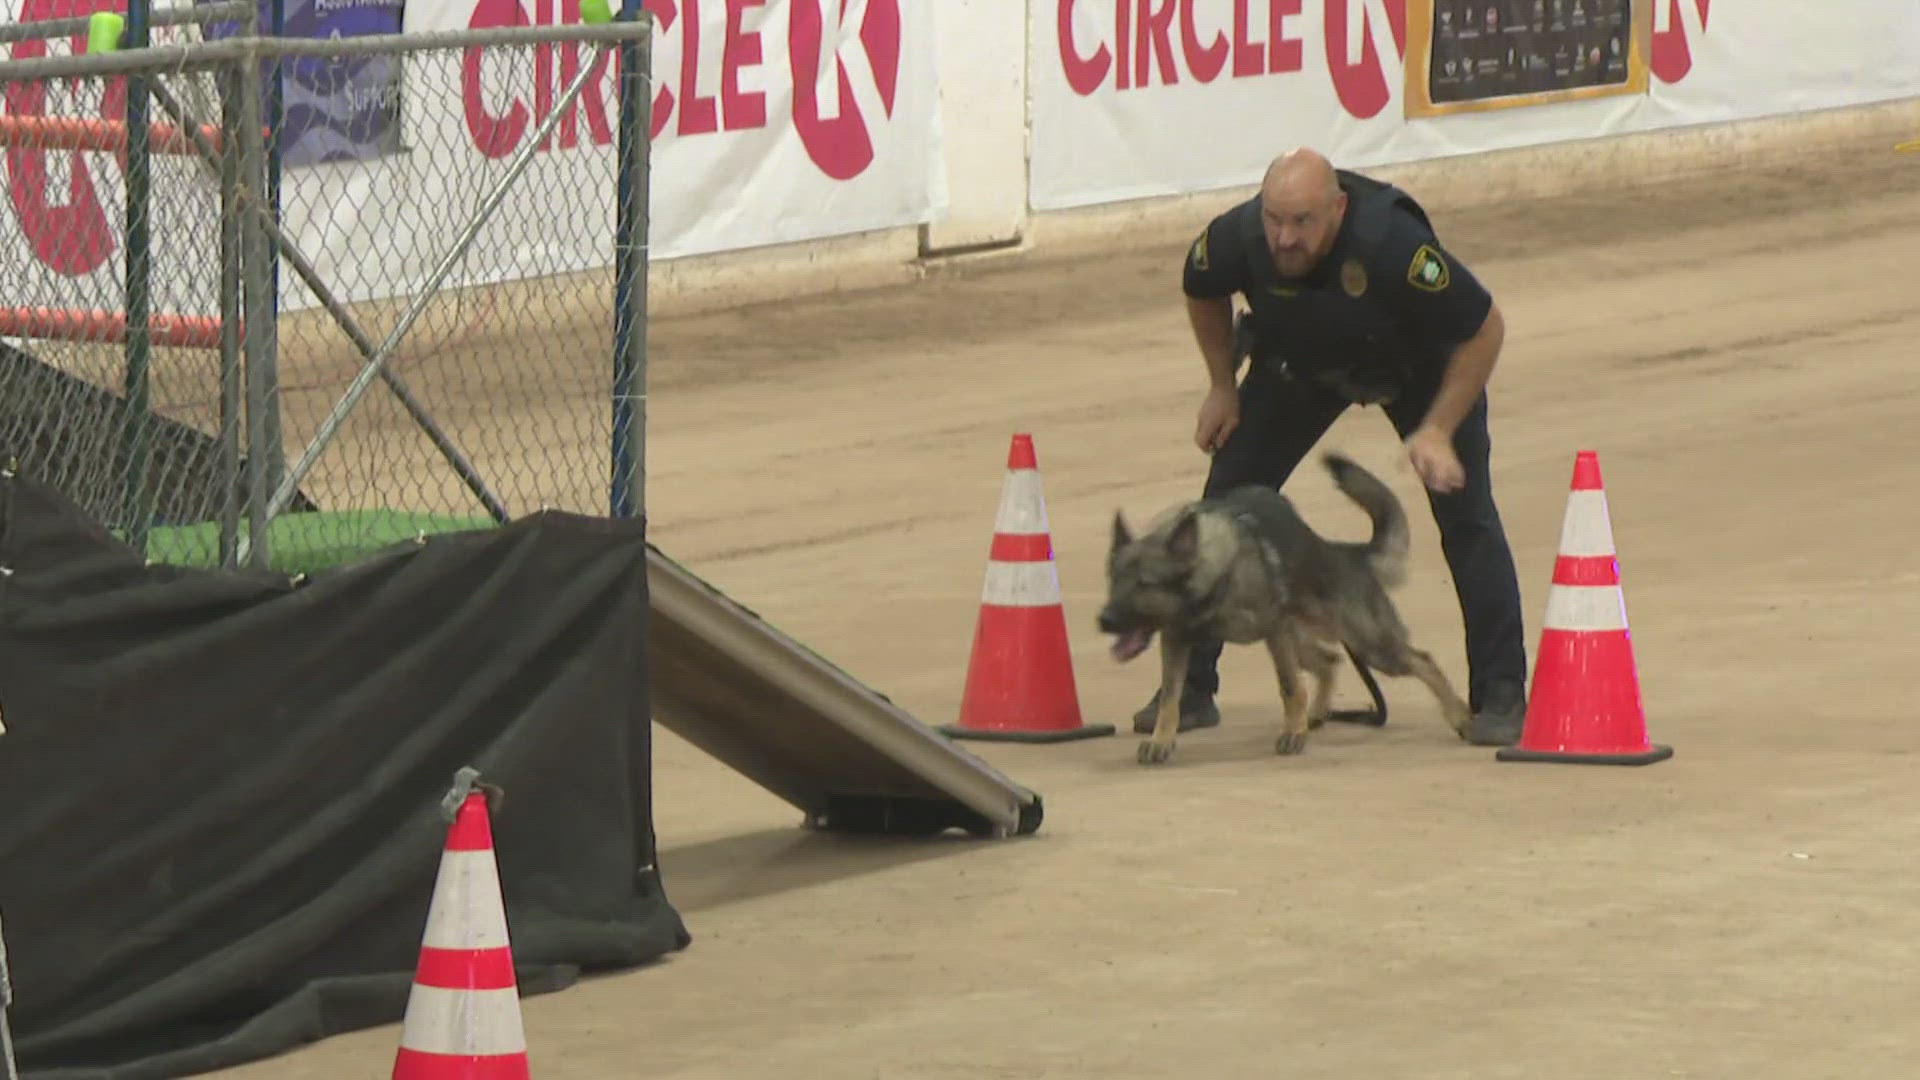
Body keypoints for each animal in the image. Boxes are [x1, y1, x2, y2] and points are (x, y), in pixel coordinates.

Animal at [1098, 449, 1466, 760]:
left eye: (1144, 584)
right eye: (1114, 581)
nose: (1103, 620)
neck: (1215, 579)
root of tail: (1351, 553)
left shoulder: (1274, 634)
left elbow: (1290, 687)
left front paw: (1293, 733)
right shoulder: (1176, 642)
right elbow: (1170, 698)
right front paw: (1161, 740)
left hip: (1371, 646)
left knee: (1423, 661)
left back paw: (1460, 716)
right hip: (1304, 642)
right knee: (1329, 660)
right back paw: (1316, 714)